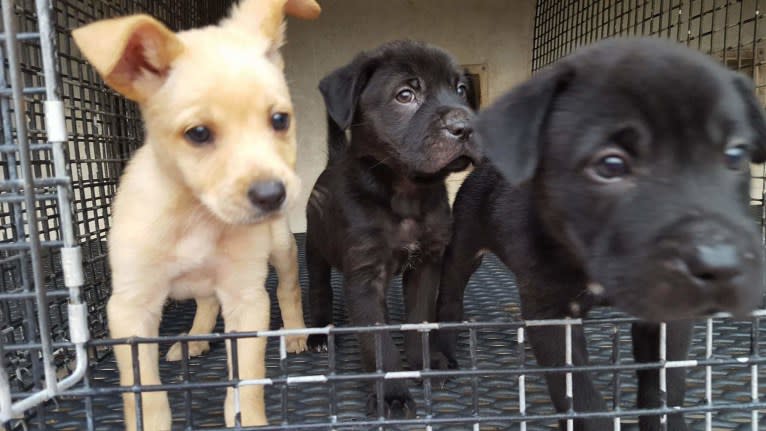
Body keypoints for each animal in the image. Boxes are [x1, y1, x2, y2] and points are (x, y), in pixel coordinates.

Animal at [72, 1, 320, 430]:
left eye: (280, 120)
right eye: (198, 133)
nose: (272, 196)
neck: (196, 216)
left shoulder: (247, 299)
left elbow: (247, 380)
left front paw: (248, 418)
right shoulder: (130, 309)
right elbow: (144, 392)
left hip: (282, 248)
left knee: (288, 289)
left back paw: (294, 332)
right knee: (206, 303)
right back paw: (198, 337)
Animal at [306, 40, 480, 418]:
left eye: (461, 90)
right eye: (405, 95)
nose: (466, 126)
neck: (406, 195)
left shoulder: (427, 265)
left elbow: (420, 321)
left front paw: (425, 364)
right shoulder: (365, 276)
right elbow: (378, 340)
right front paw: (392, 395)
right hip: (315, 249)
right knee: (319, 290)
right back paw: (317, 335)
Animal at [438, 38, 766, 431]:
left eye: (735, 155)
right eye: (610, 165)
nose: (719, 264)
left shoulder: (669, 316)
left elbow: (666, 385)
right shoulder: (550, 313)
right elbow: (581, 398)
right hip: (464, 248)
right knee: (450, 295)